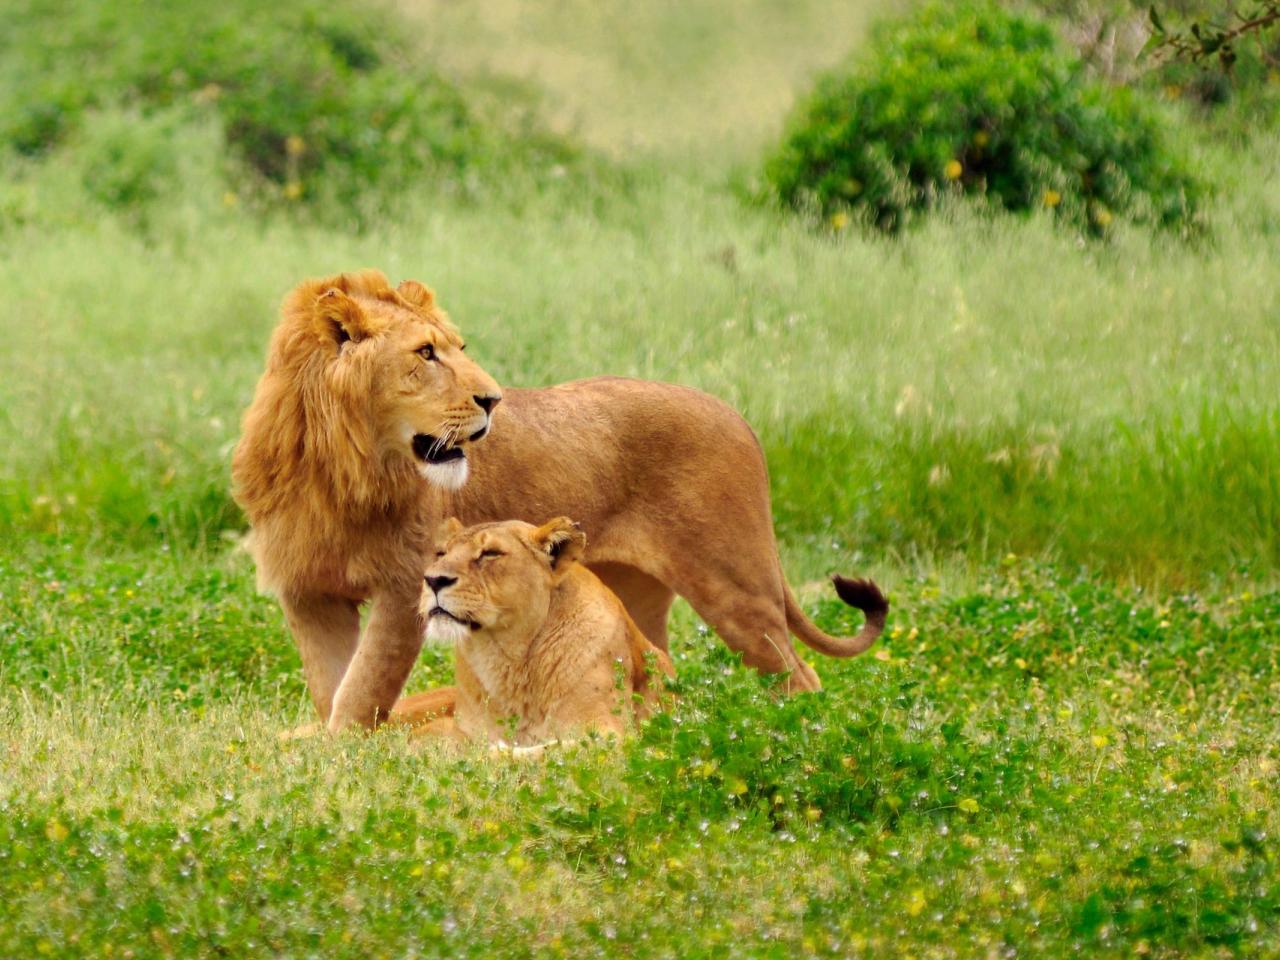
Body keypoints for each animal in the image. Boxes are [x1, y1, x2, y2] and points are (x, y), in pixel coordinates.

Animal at [394, 514, 675, 747]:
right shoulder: (460, 729)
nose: (433, 580)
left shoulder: (606, 733)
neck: (508, 660)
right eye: (441, 553)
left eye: (490, 553)